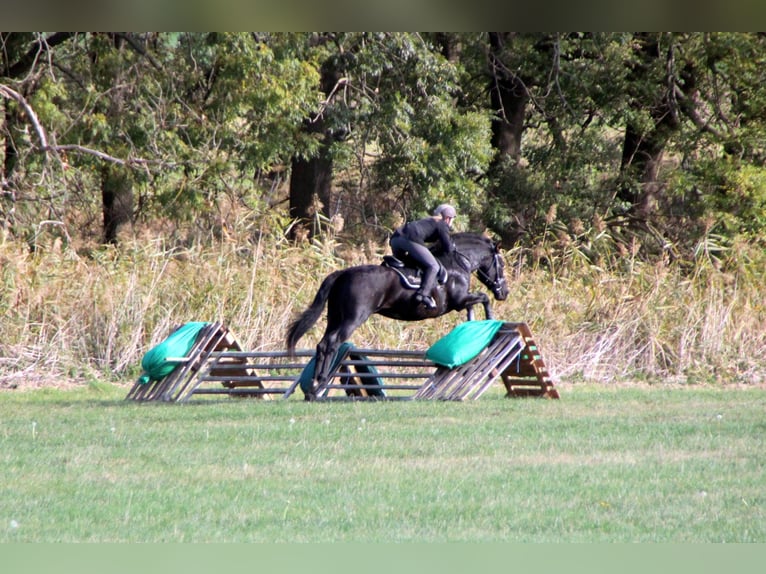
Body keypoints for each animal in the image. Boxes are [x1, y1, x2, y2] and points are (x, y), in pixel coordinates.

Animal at [286, 233, 510, 400]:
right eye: (502, 264)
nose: (504, 293)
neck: (457, 263)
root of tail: (342, 274)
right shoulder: (459, 300)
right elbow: (483, 298)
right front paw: (490, 317)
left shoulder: (462, 301)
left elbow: (474, 306)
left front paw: (475, 324)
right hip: (353, 318)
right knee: (332, 343)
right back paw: (320, 384)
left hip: (334, 317)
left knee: (322, 344)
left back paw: (314, 385)